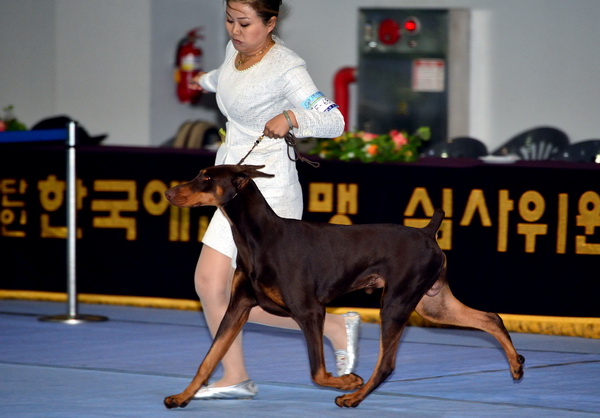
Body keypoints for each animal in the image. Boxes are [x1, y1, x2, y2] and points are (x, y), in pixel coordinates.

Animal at [162, 164, 524, 408]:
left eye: (206, 178)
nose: (168, 192)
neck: (258, 238)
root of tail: (427, 232)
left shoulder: (309, 311)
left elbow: (317, 372)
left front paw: (347, 379)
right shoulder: (238, 307)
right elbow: (209, 358)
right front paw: (181, 397)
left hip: (396, 303)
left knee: (387, 364)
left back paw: (353, 397)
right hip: (432, 303)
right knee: (490, 318)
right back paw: (516, 364)